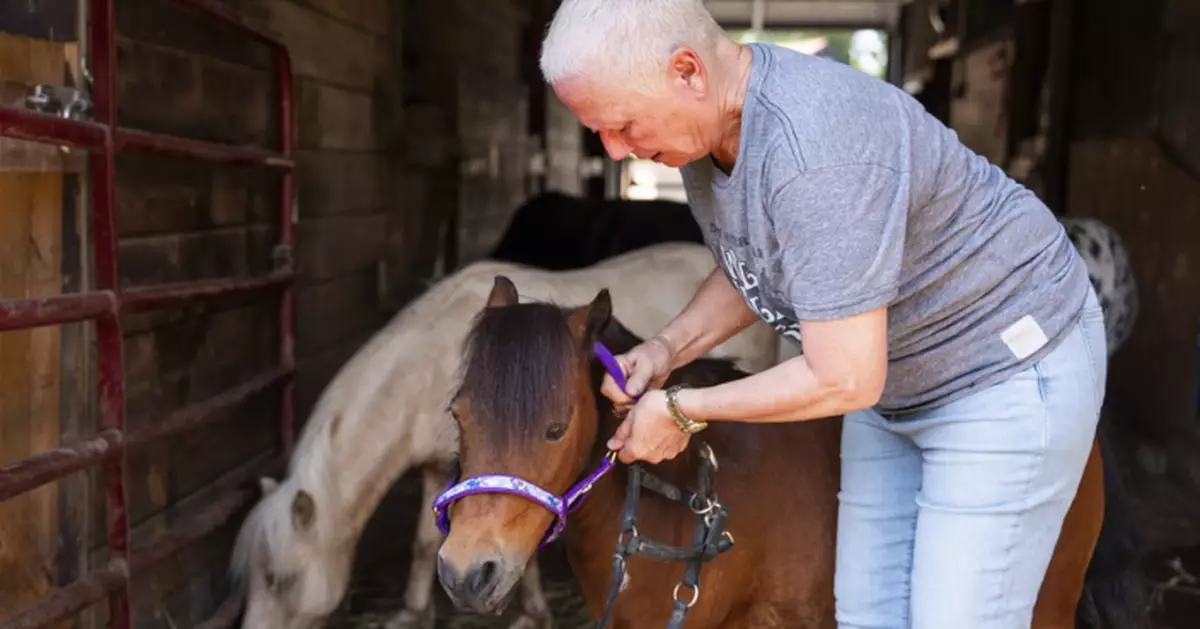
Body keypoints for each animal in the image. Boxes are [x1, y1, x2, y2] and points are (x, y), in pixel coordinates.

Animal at [228, 243, 782, 629]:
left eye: (279, 580)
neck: (422, 367)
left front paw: (531, 612)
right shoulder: (444, 468)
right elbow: (425, 543)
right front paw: (414, 612)